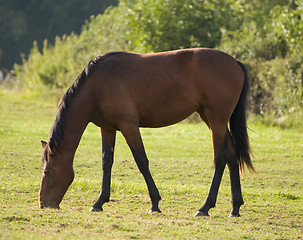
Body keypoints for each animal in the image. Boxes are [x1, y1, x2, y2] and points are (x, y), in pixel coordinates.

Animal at [39, 47, 255, 217]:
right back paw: (235, 207)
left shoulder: (129, 126)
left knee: (220, 159)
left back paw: (205, 207)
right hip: (211, 119)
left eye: (47, 171)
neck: (98, 85)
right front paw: (99, 202)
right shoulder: (107, 128)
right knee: (232, 156)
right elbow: (106, 162)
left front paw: (155, 203)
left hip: (217, 120)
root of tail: (234, 62)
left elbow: (141, 161)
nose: (43, 204)